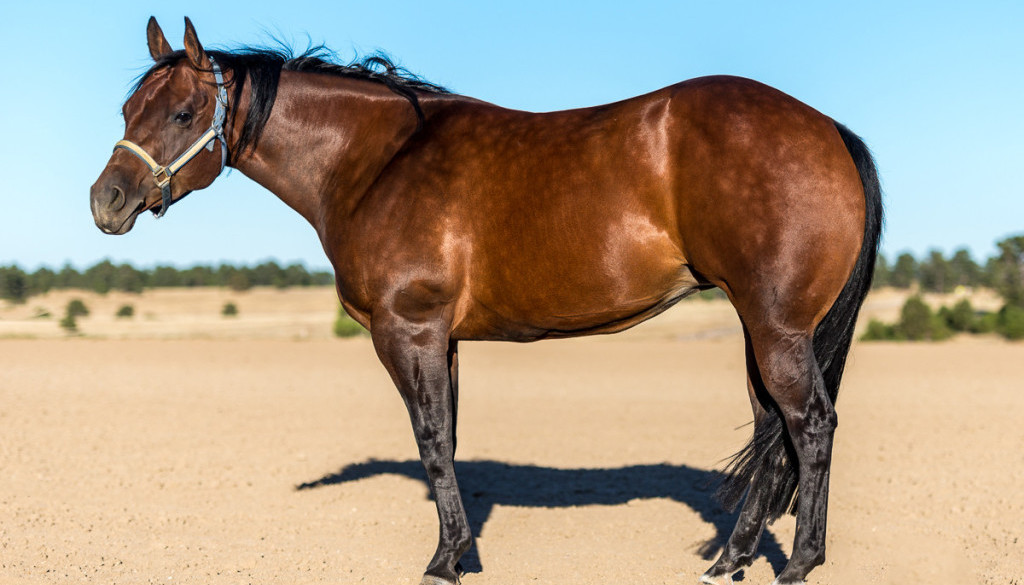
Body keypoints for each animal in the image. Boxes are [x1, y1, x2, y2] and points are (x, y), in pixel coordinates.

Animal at [90, 16, 880, 581]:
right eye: (128, 107)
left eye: (186, 112)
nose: (107, 201)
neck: (378, 162)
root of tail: (827, 129)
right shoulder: (443, 339)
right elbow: (449, 440)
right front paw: (460, 551)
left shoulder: (407, 331)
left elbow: (433, 442)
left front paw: (444, 562)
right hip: (761, 330)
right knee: (774, 432)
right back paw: (731, 560)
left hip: (775, 328)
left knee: (810, 426)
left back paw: (800, 563)